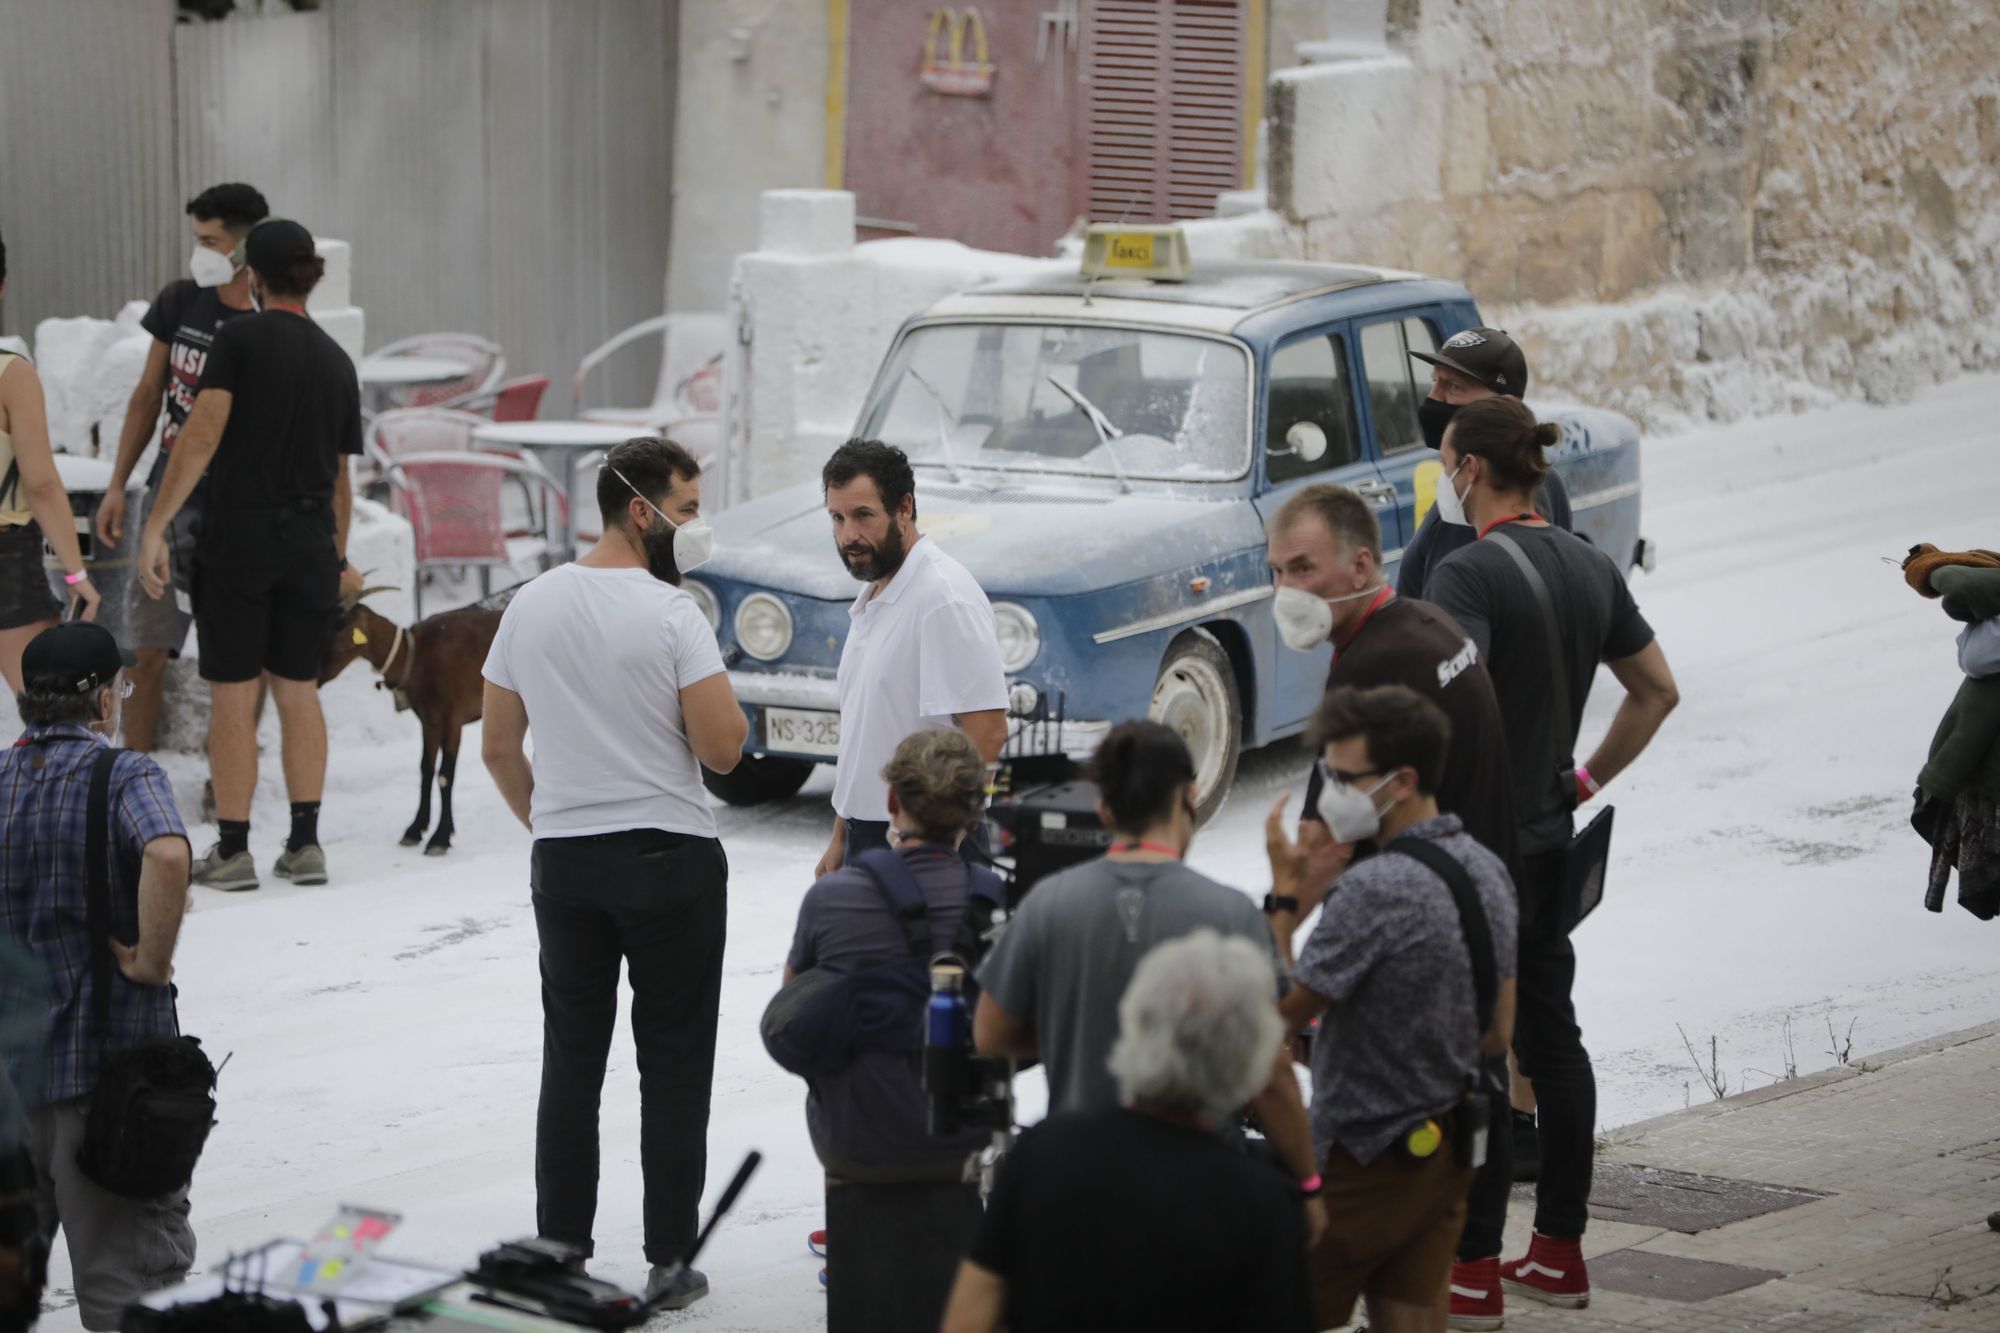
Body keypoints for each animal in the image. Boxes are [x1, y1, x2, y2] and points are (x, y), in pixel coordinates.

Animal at [320, 600, 504, 852]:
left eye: (339, 626)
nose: (316, 675)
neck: (417, 656)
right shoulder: (429, 720)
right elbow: (426, 769)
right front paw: (415, 829)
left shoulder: (453, 718)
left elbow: (445, 775)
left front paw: (440, 837)